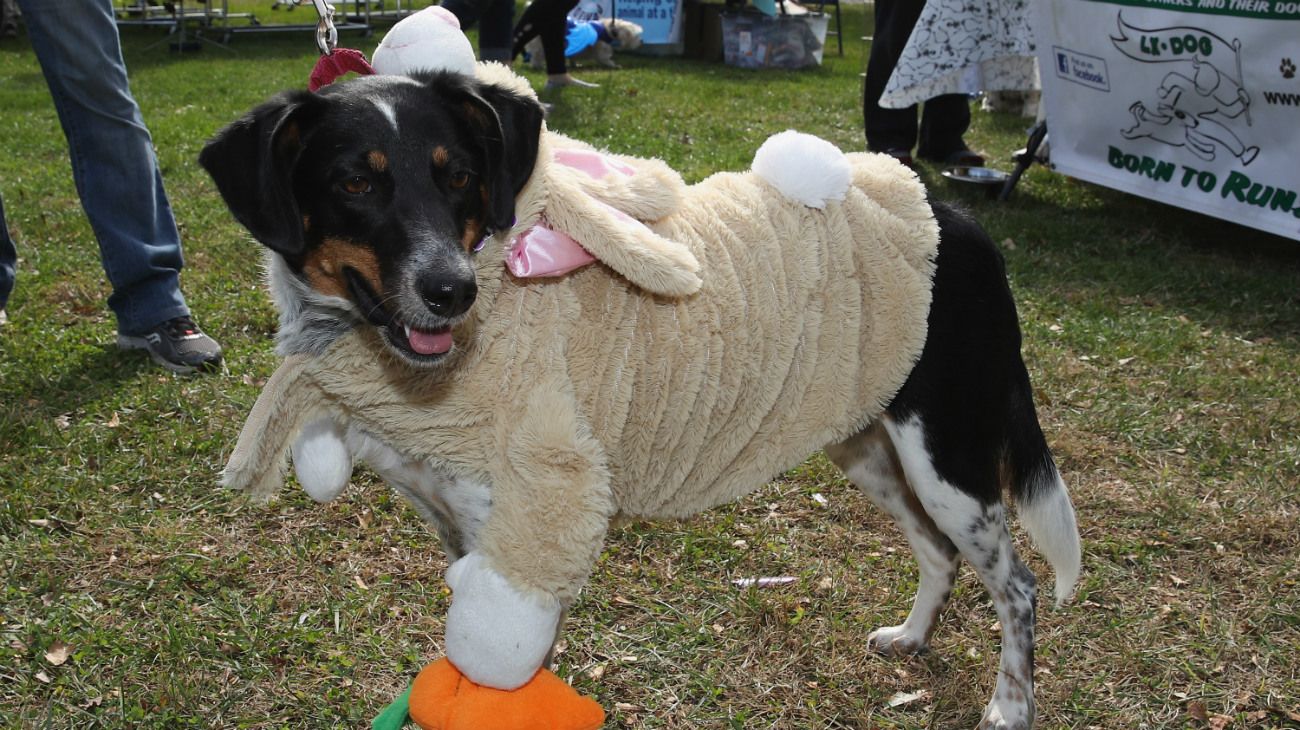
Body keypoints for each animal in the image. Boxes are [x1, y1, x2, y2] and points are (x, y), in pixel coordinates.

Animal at [200, 69, 1076, 727]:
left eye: (460, 177)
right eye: (354, 181)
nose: (451, 292)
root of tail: (957, 218)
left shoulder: (531, 530)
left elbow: (504, 673)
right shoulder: (461, 529)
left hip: (950, 457)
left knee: (1018, 586)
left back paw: (1010, 706)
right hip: (866, 438)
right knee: (938, 551)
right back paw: (911, 637)